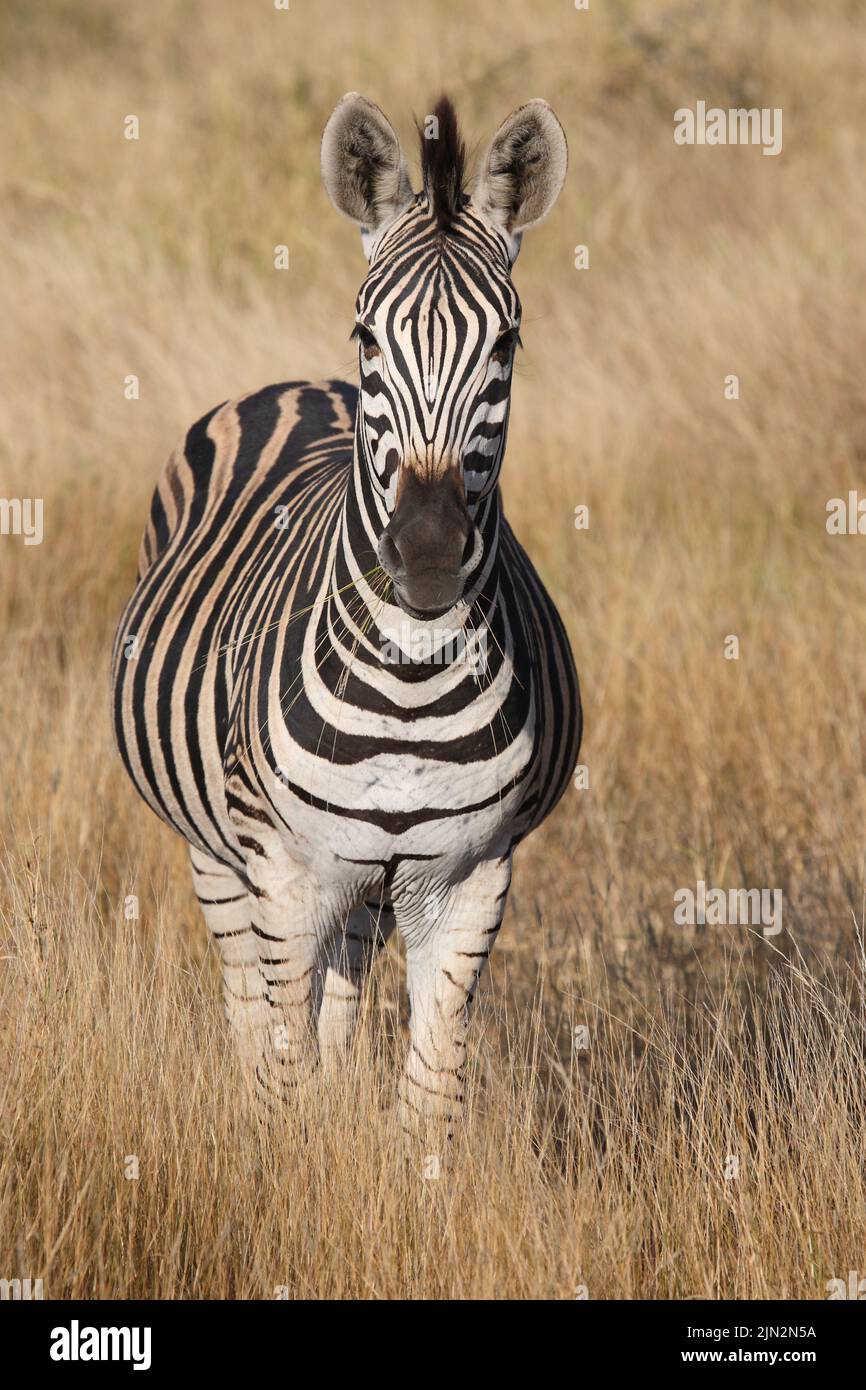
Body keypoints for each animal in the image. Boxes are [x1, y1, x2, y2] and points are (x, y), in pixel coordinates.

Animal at [111, 94, 582, 1141]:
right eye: (368, 336)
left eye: (507, 346)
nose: (430, 554)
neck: (412, 675)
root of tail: (293, 385)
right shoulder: (284, 873)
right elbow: (281, 1077)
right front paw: (286, 1169)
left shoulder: (470, 880)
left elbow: (426, 1100)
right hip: (220, 854)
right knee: (252, 1014)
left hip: (369, 885)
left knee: (340, 1000)